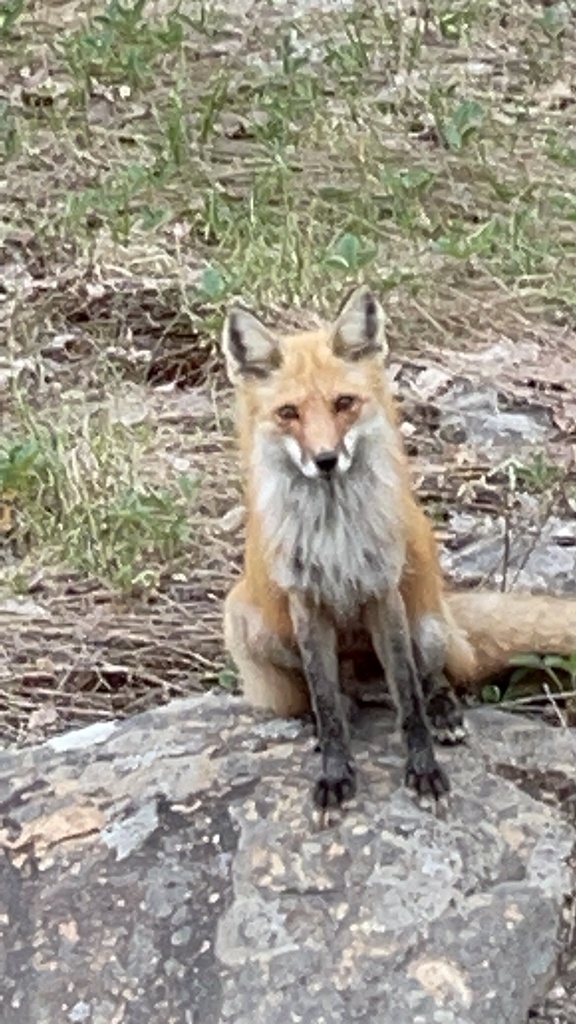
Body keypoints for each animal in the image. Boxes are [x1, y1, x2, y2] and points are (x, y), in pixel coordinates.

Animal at [221, 286, 576, 809]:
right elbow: (325, 702)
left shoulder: (382, 593)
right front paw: (334, 773)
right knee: (327, 697)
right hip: (251, 626)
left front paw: (424, 770)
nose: (325, 460)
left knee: (433, 675)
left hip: (423, 624)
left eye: (344, 403)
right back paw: (327, 716)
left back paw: (444, 710)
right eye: (289, 414)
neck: (335, 533)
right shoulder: (305, 602)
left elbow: (409, 699)